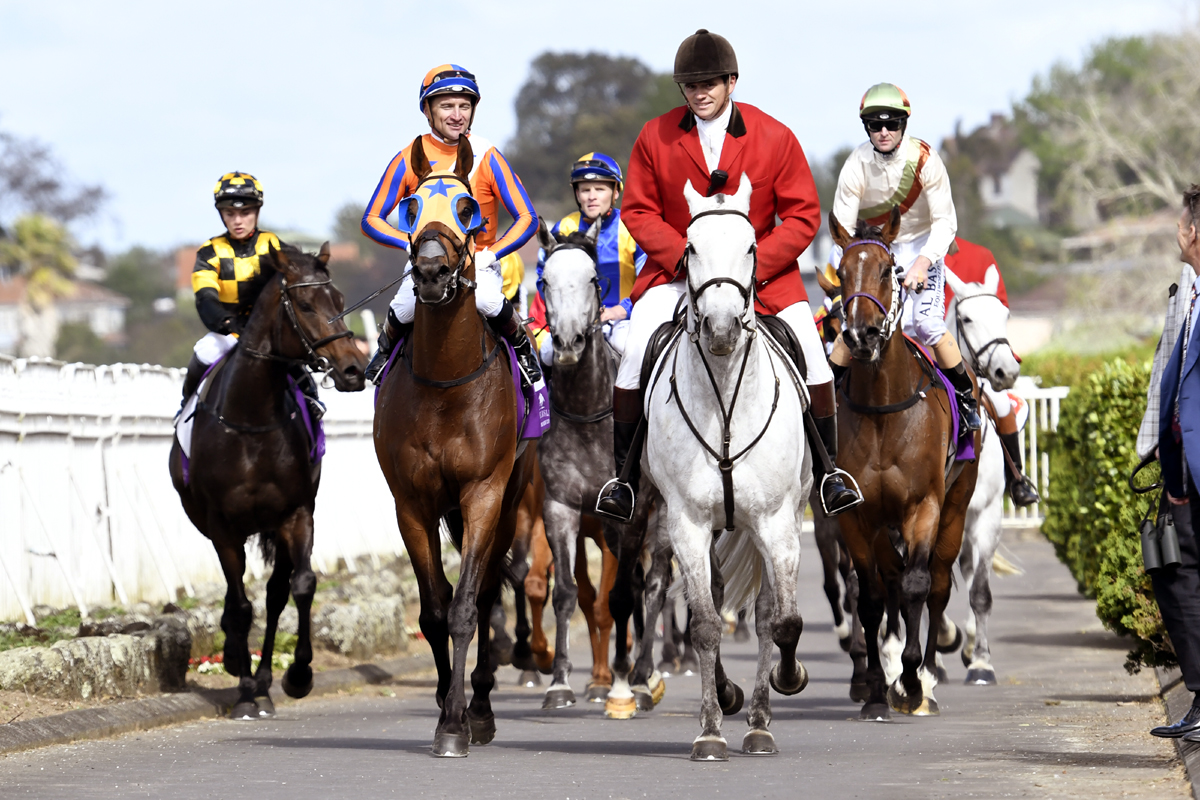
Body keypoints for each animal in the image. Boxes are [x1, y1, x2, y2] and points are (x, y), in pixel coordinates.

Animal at [169, 242, 364, 719]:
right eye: (306, 304)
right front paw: (242, 691)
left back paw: (263, 680)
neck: (251, 421)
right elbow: (240, 604)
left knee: (276, 593)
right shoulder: (222, 525)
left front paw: (298, 675)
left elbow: (301, 585)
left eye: (338, 298)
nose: (354, 369)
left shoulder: (296, 514)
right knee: (235, 596)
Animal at [369, 136, 530, 758]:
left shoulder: (483, 491)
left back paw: (481, 707)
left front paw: (458, 722)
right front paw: (443, 704)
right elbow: (435, 609)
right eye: (410, 206)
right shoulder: (410, 502)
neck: (444, 384)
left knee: (485, 594)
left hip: (509, 500)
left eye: (467, 208)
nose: (434, 269)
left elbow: (465, 606)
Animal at [643, 178, 811, 762]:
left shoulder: (778, 524)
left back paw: (760, 714)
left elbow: (781, 619)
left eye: (752, 246)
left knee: (764, 615)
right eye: (690, 248)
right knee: (712, 603)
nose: (719, 328)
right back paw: (728, 696)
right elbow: (705, 624)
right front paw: (711, 729)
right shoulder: (687, 525)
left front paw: (782, 687)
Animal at [830, 209, 979, 724]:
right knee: (889, 580)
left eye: (886, 271)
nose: (861, 335)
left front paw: (913, 682)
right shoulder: (857, 515)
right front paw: (878, 690)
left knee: (937, 585)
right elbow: (871, 596)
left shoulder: (925, 505)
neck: (882, 410)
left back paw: (927, 679)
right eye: (841, 273)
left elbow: (917, 585)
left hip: (957, 507)